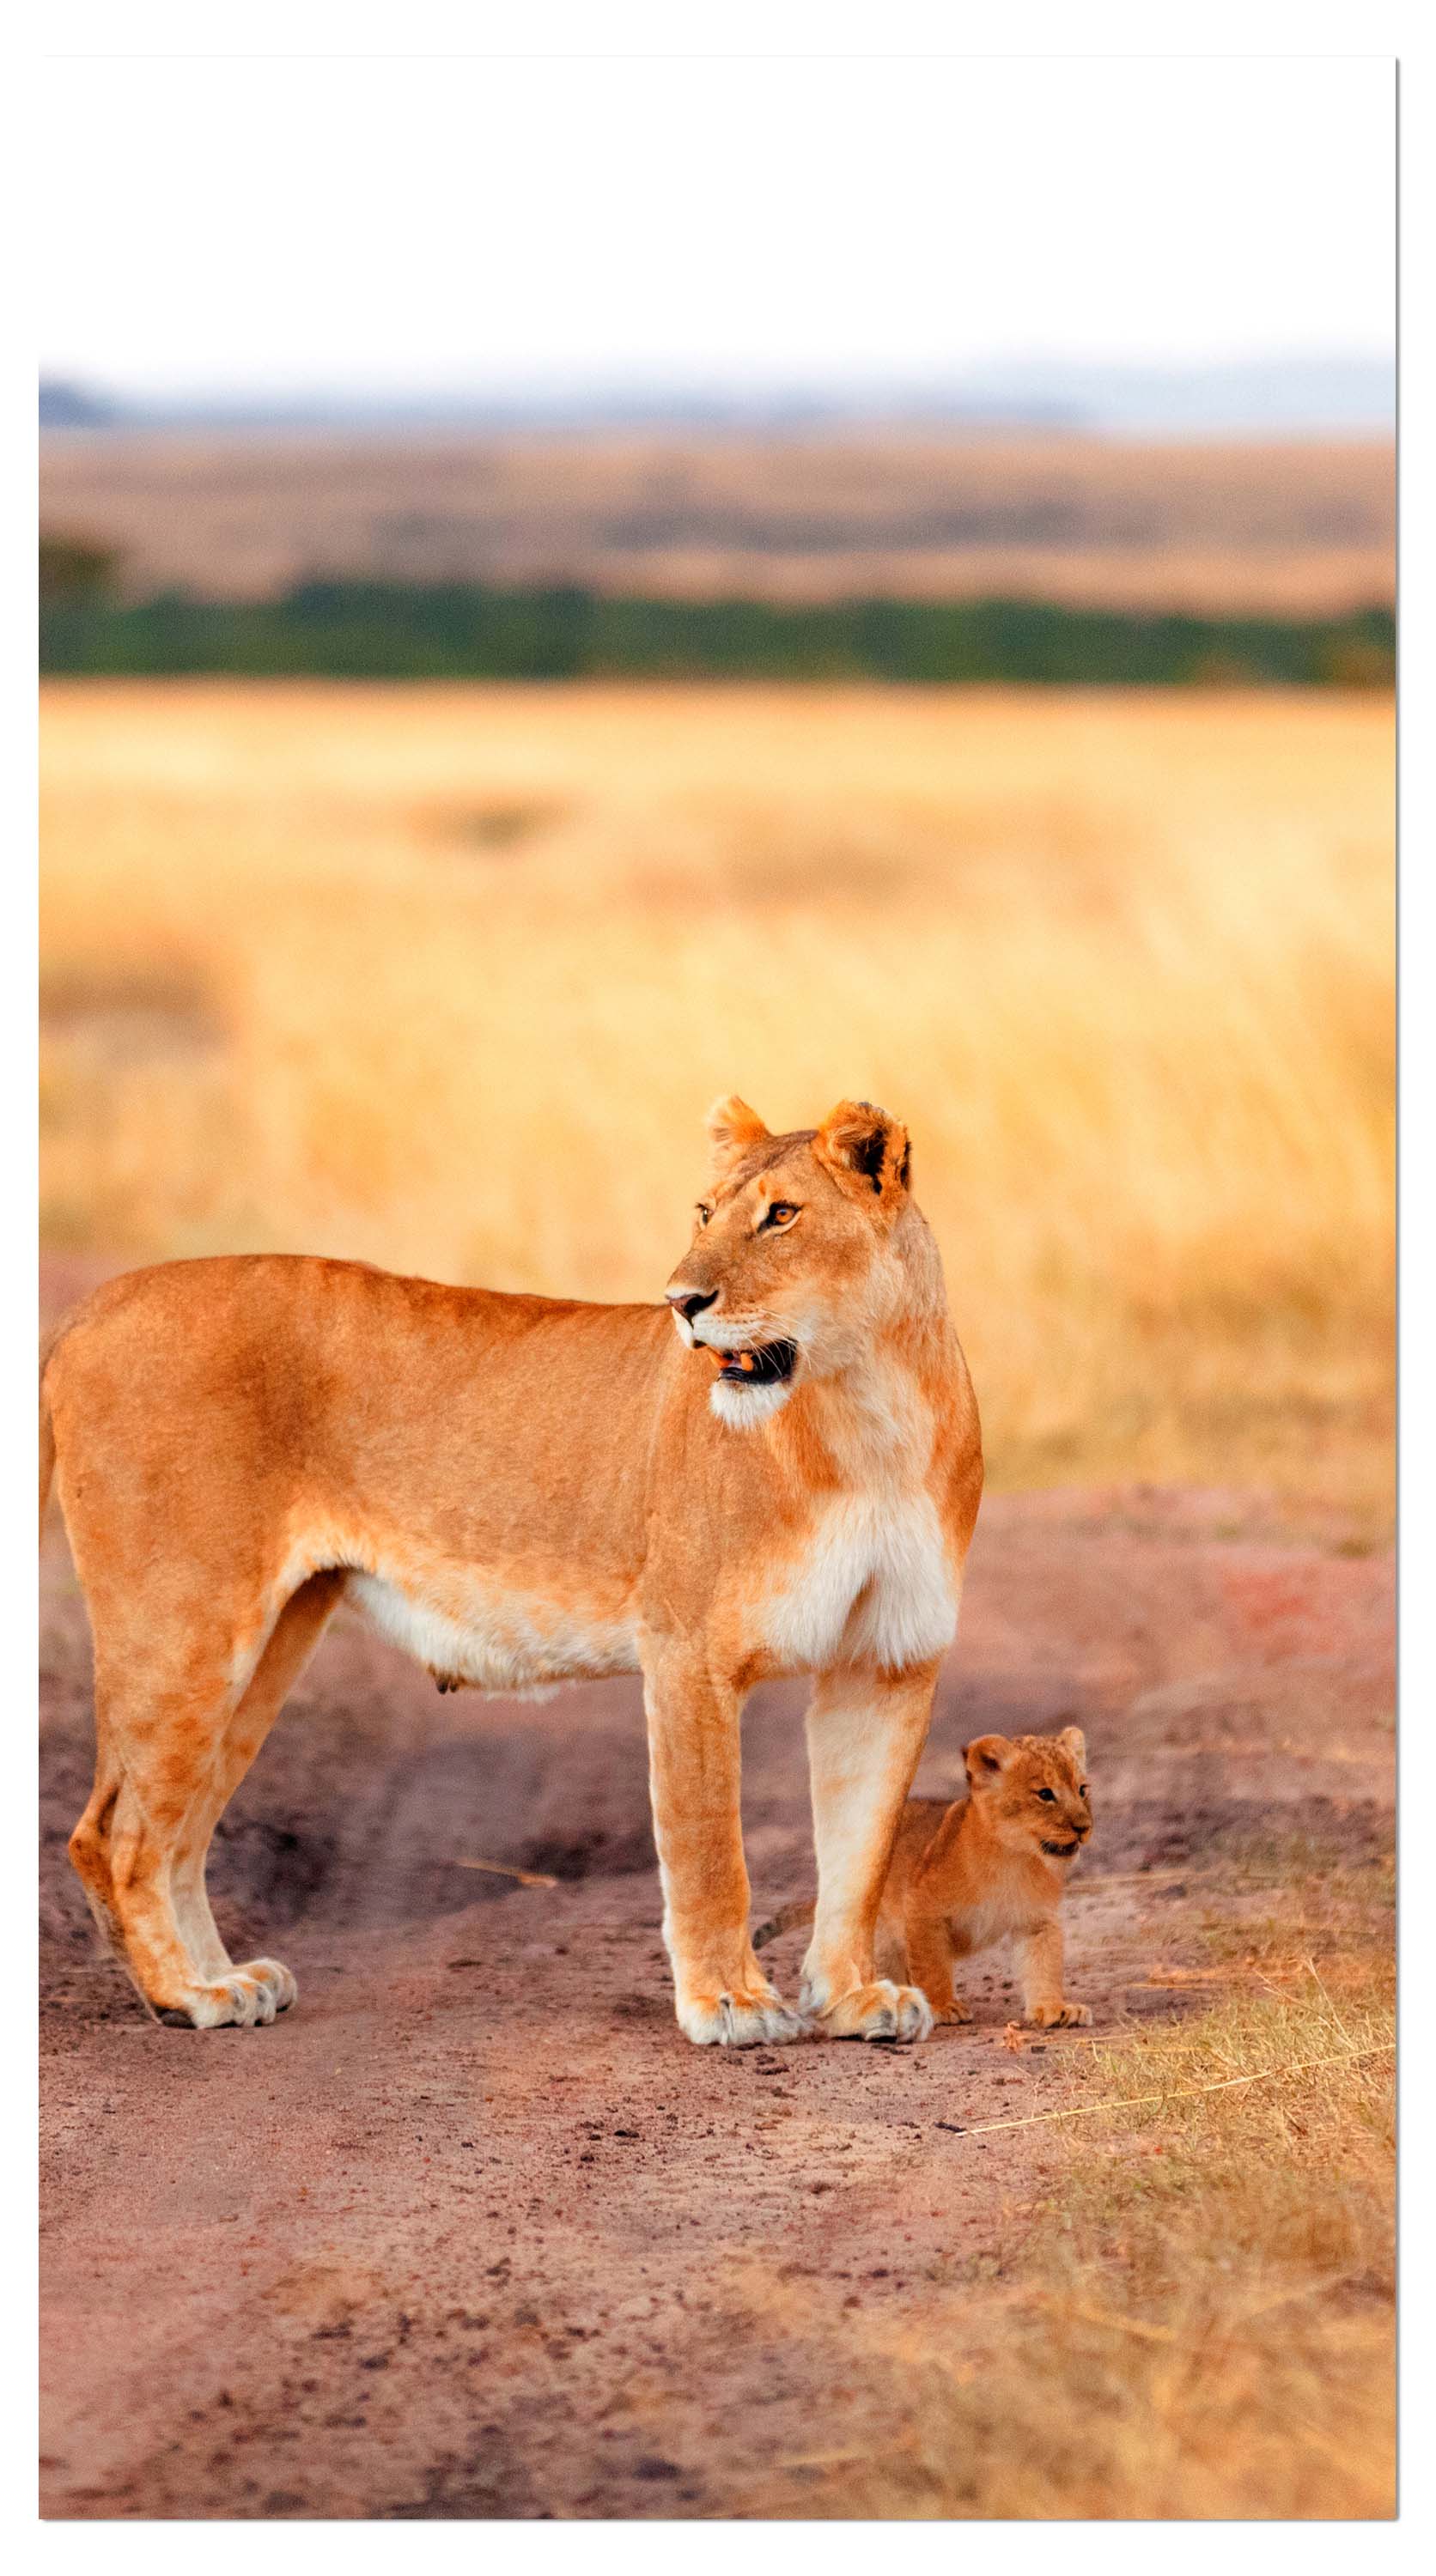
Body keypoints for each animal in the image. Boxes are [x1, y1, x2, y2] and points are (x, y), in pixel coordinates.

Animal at [40, 1095, 982, 2048]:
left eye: (782, 1216)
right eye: (705, 1214)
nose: (680, 1302)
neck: (867, 1411)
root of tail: (88, 1310)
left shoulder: (887, 1661)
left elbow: (860, 1850)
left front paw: (854, 1997)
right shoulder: (690, 1650)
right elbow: (709, 1845)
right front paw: (731, 2003)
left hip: (268, 1644)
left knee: (179, 1829)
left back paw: (222, 1980)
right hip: (185, 1628)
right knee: (114, 1833)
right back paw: (187, 1995)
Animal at [753, 1727, 1093, 2028]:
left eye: (1082, 1789)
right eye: (1045, 1794)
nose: (1084, 1827)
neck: (1014, 1859)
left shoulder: (1037, 1920)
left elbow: (1044, 1965)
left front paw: (1054, 2010)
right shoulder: (922, 1907)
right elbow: (932, 1964)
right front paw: (943, 2007)